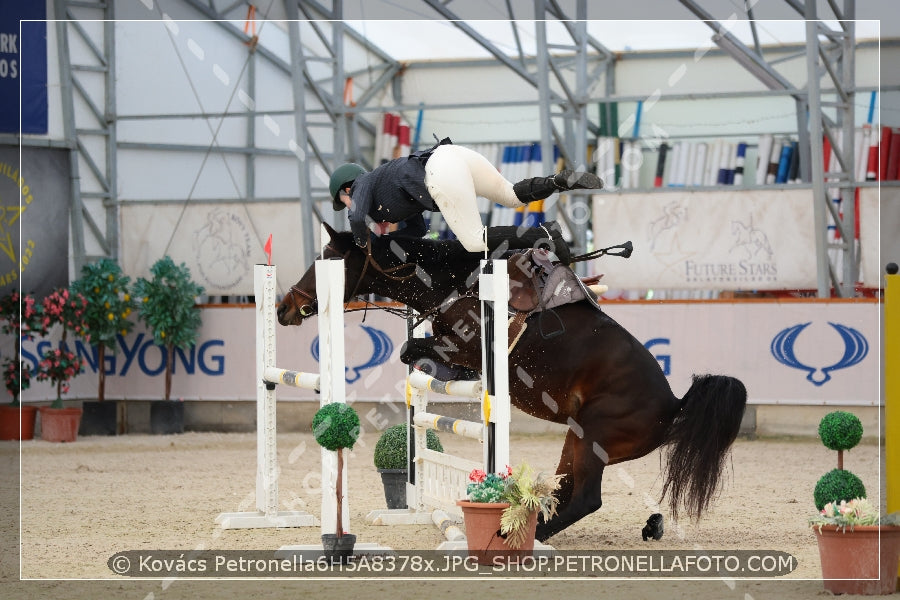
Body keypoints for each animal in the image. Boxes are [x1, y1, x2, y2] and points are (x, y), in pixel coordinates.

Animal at [280, 223, 744, 540]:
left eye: (328, 258)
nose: (285, 307)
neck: (458, 283)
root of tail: (674, 404)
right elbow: (415, 354)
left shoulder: (467, 345)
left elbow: (416, 351)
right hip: (576, 438)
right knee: (563, 489)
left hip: (594, 436)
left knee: (585, 498)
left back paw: (519, 535)